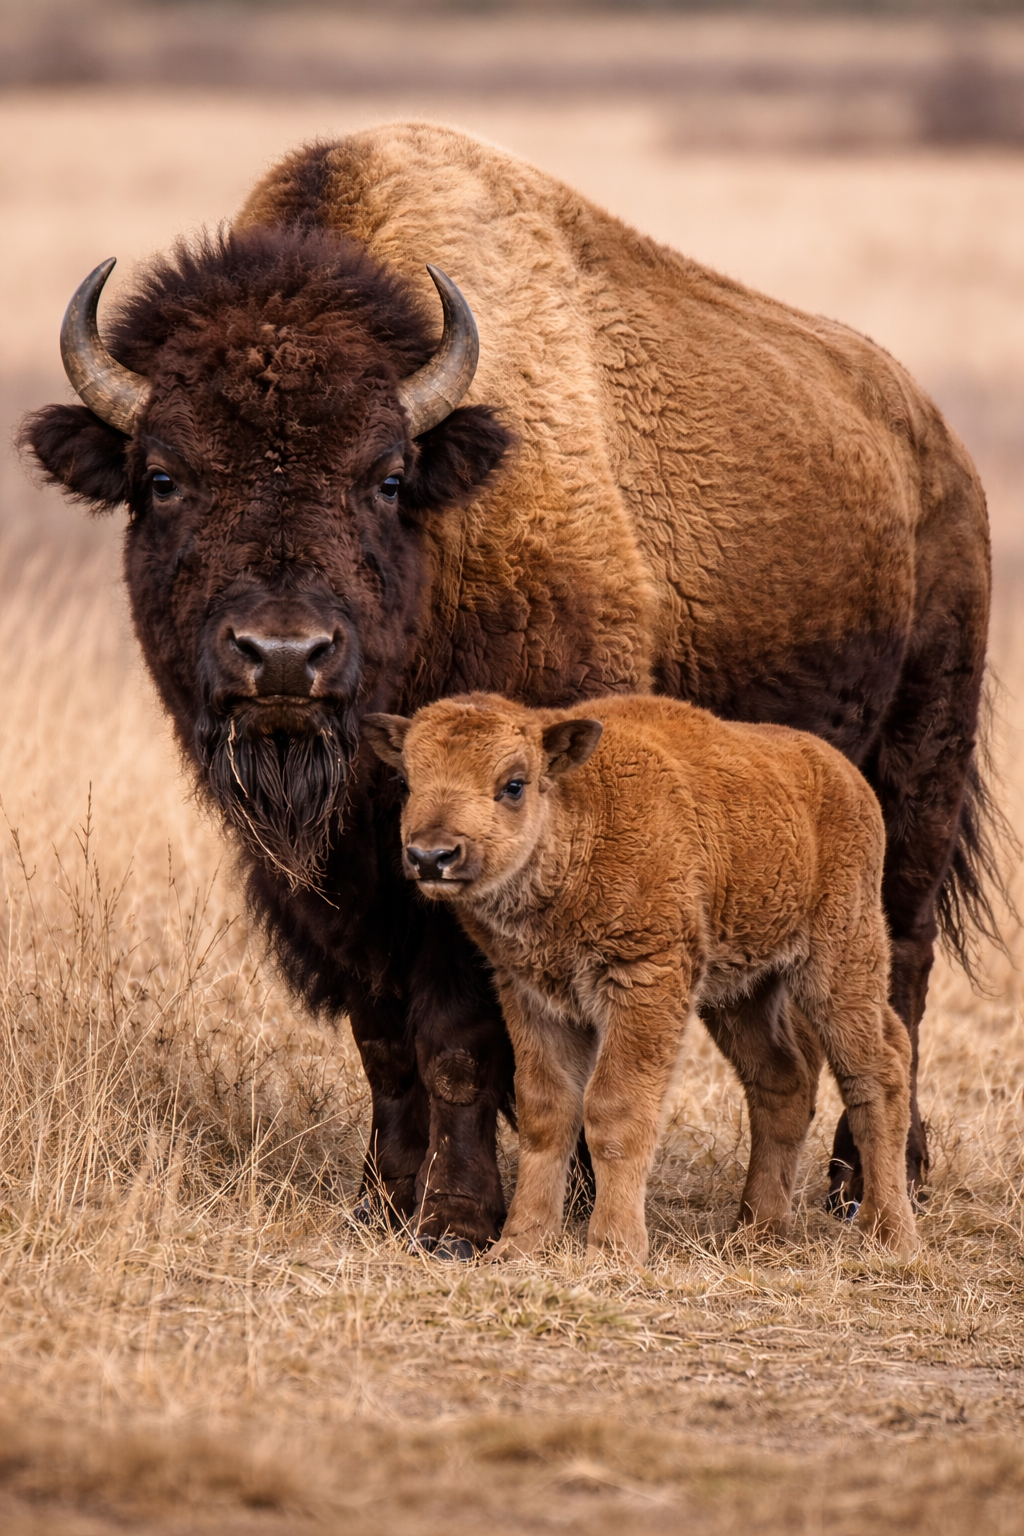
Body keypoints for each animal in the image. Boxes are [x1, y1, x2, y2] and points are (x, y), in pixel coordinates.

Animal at [363, 692, 919, 1264]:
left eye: (514, 784)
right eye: (407, 781)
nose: (432, 856)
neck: (579, 818)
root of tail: (846, 776)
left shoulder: (644, 982)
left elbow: (614, 1110)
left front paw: (613, 1249)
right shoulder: (531, 995)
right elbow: (547, 1113)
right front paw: (520, 1244)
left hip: (840, 960)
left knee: (878, 1070)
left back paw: (890, 1235)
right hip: (743, 992)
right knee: (784, 1079)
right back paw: (755, 1233)